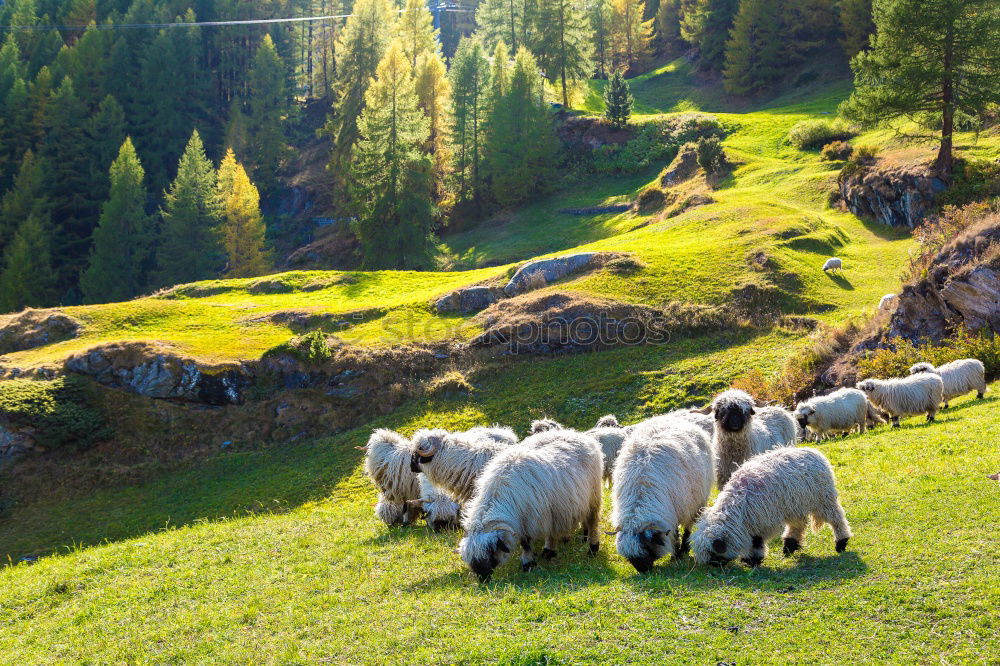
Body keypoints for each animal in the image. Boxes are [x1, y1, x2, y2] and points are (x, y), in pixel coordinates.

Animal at [458, 428, 600, 580]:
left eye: (490, 553)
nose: (483, 580)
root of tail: (577, 433)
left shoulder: (530, 519)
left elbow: (525, 543)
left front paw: (528, 564)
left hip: (593, 496)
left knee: (592, 522)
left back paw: (592, 547)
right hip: (560, 505)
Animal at [604, 416, 716, 572]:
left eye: (647, 548)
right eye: (629, 558)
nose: (643, 571)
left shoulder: (675, 511)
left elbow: (674, 534)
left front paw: (676, 556)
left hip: (696, 501)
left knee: (689, 525)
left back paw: (685, 548)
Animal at [696, 444, 852, 564]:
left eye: (713, 553)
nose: (714, 566)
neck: (738, 505)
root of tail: (814, 452)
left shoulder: (761, 522)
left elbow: (756, 542)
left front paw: (753, 560)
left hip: (823, 500)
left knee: (836, 519)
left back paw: (841, 542)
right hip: (795, 505)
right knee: (798, 525)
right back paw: (789, 545)